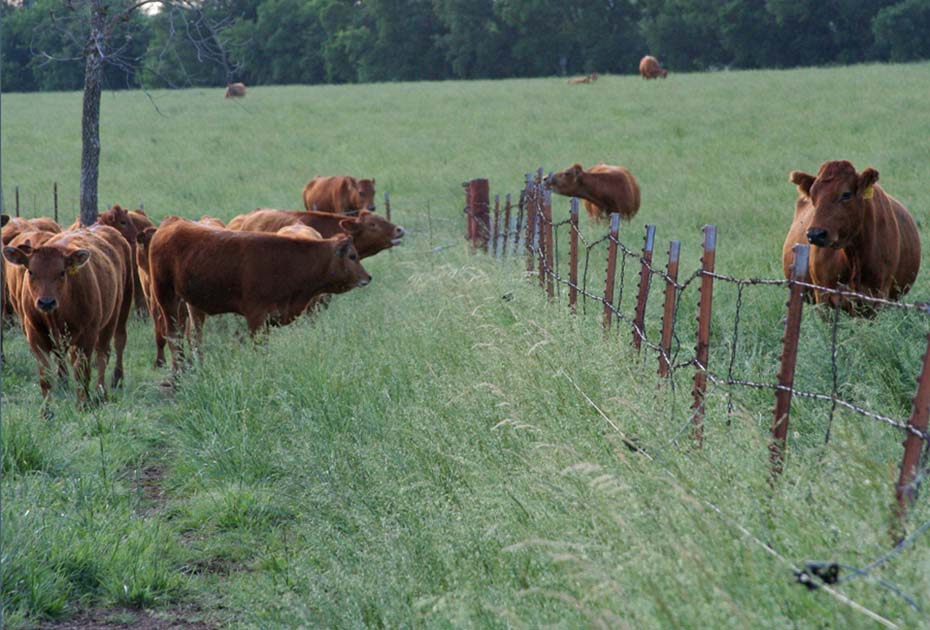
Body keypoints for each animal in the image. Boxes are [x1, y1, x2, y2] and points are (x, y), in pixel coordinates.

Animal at [1, 226, 133, 404]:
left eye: (62, 272)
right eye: (31, 272)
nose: (46, 302)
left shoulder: (87, 335)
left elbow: (82, 373)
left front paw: (84, 404)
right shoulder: (36, 336)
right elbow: (45, 377)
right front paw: (47, 409)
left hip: (119, 310)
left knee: (110, 348)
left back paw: (107, 388)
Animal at [149, 221, 370, 372]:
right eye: (352, 256)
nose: (368, 278)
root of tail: (170, 225)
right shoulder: (256, 317)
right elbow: (260, 349)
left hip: (191, 306)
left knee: (193, 337)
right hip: (167, 299)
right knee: (174, 335)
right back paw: (178, 374)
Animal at [780, 159, 916, 314]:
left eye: (846, 194)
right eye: (813, 195)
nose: (815, 234)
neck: (854, 255)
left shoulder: (877, 299)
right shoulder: (823, 297)